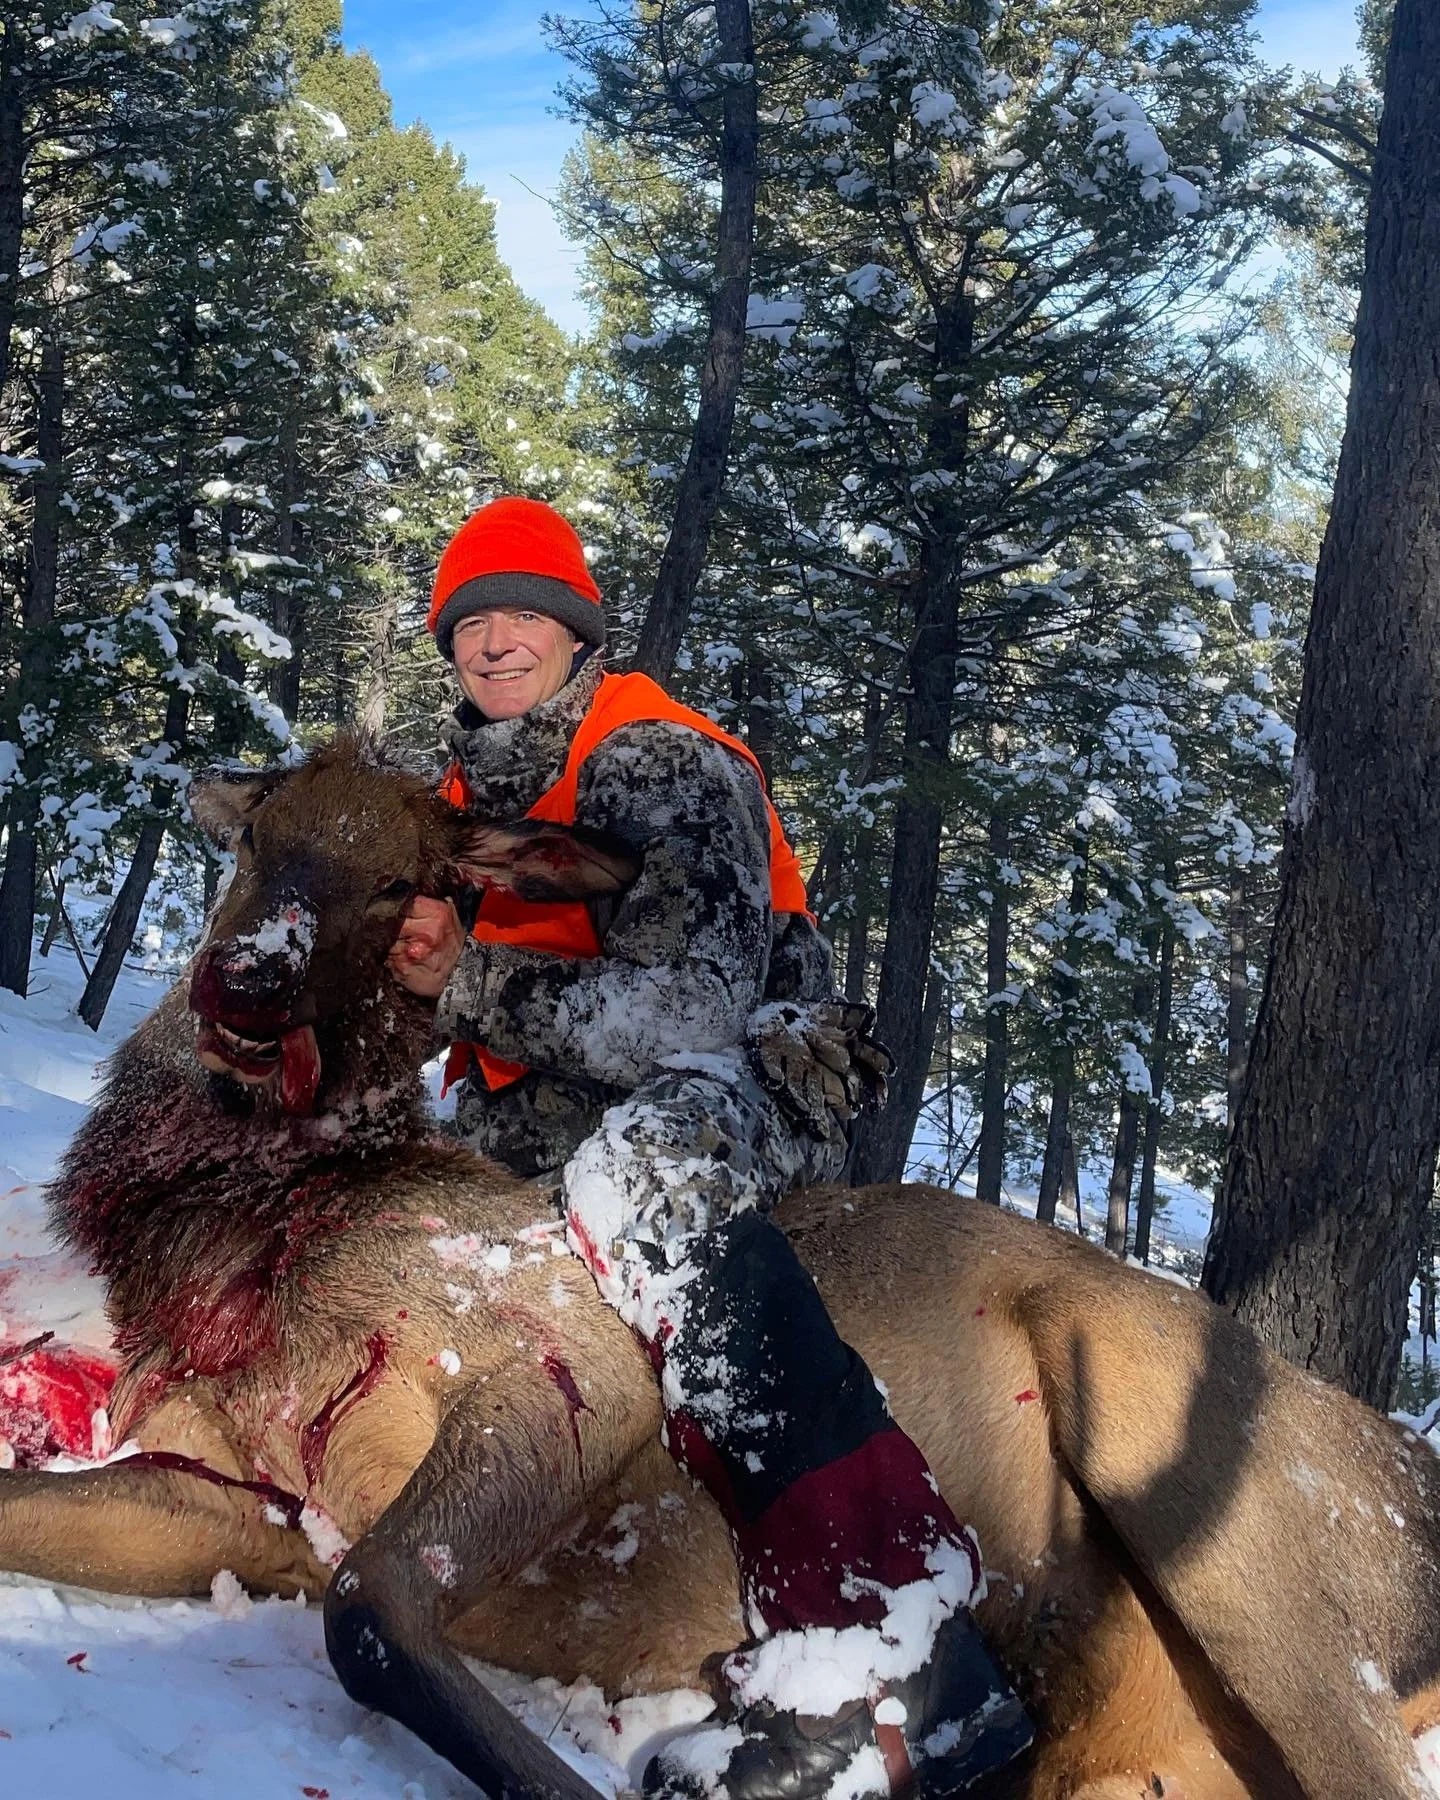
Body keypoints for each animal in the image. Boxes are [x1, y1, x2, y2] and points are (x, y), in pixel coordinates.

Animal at [0, 734, 1436, 1800]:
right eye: (254, 839)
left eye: (414, 881)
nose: (244, 985)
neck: (253, 1233)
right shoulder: (239, 1501)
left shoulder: (562, 1361)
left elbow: (372, 1617)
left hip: (1233, 1499)